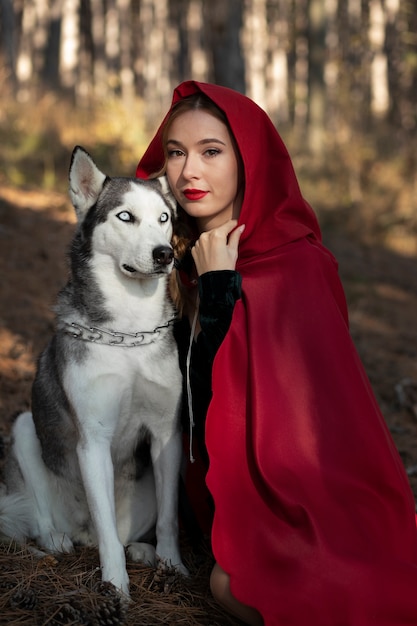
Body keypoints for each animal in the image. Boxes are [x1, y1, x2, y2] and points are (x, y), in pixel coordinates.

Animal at [0, 146, 185, 596]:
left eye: (164, 218)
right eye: (125, 216)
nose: (165, 254)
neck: (129, 332)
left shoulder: (166, 434)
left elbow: (170, 518)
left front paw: (174, 565)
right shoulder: (93, 439)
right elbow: (106, 533)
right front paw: (116, 587)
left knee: (124, 531)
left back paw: (143, 551)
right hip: (25, 429)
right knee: (47, 521)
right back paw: (55, 542)